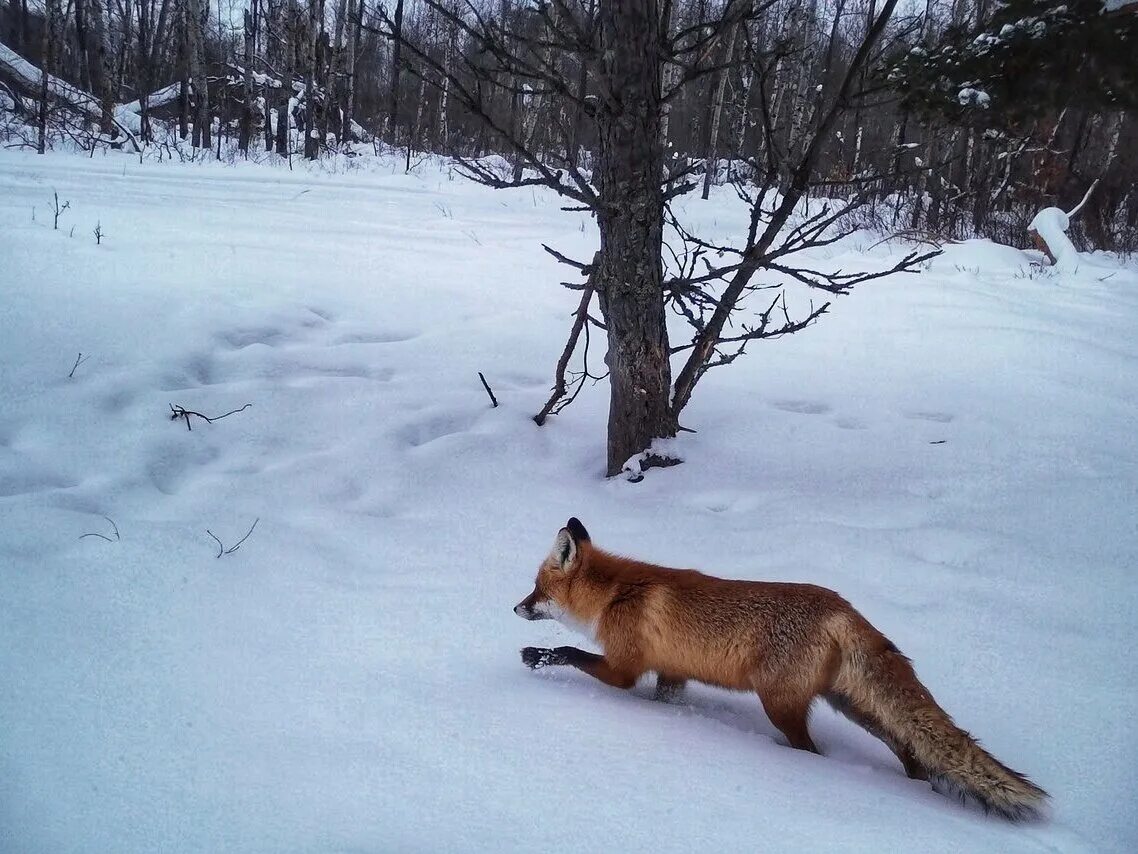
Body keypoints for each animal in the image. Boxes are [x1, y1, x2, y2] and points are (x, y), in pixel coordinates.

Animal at [516, 514, 1046, 824]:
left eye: (537, 590)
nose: (516, 607)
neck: (615, 594)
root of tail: (842, 606)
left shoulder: (623, 669)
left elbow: (571, 653)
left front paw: (537, 656)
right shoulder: (672, 675)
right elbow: (664, 697)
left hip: (781, 705)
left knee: (814, 751)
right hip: (852, 706)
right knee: (908, 743)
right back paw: (919, 784)